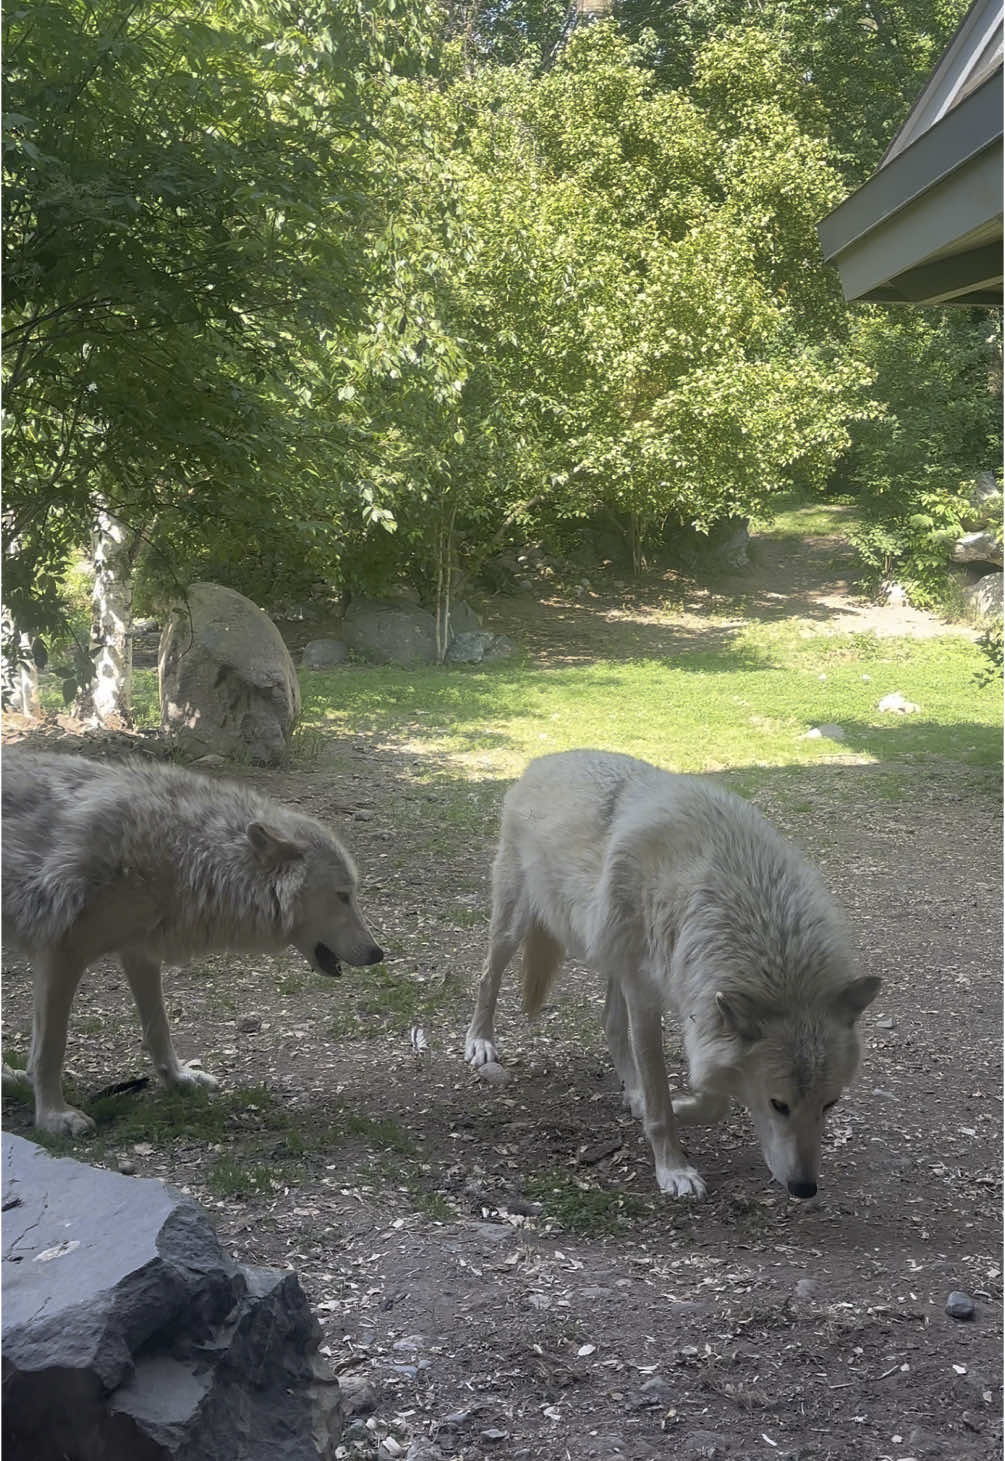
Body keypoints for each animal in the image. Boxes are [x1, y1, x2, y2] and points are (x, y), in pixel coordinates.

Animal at [2, 750, 383, 1136]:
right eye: (343, 896)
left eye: (352, 894)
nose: (378, 953)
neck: (184, 853)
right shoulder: (60, 953)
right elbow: (51, 1047)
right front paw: (53, 1116)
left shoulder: (139, 952)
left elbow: (158, 1028)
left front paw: (179, 1080)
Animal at [465, 749, 880, 1200]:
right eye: (779, 1105)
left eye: (830, 1104)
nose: (804, 1188)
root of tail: (545, 759)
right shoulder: (649, 999)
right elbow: (662, 1099)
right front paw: (673, 1168)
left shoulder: (695, 1000)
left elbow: (711, 1097)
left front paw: (679, 1105)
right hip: (514, 928)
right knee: (487, 979)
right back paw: (480, 1043)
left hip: (614, 959)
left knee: (610, 1023)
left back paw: (631, 1092)